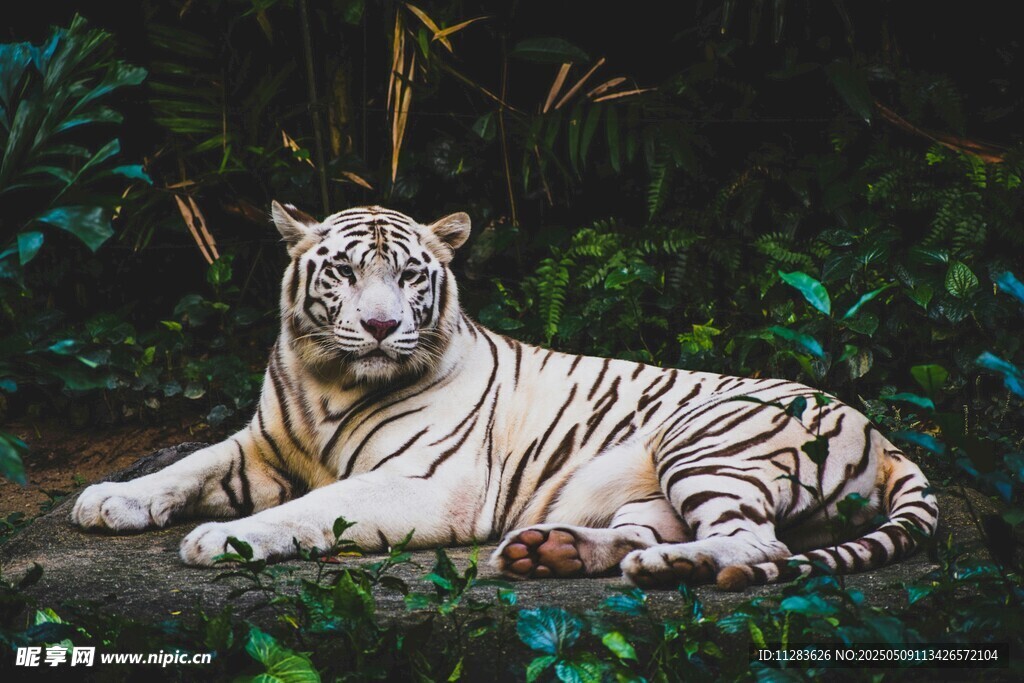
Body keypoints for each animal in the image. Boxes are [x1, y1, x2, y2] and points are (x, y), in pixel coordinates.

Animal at [71, 202, 938, 591]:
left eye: (409, 275)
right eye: (344, 271)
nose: (381, 326)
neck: (329, 380)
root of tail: (885, 436)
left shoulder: (427, 483)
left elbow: (311, 508)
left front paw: (222, 539)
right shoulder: (260, 444)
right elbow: (186, 464)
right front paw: (109, 498)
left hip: (705, 439)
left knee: (760, 544)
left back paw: (670, 566)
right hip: (651, 485)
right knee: (652, 530)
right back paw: (551, 550)